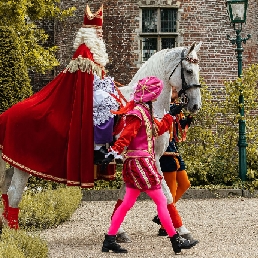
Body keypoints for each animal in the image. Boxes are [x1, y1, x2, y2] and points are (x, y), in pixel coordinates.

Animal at [0, 41, 202, 230]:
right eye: (189, 70)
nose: (196, 105)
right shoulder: (152, 159)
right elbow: (167, 195)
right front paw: (183, 232)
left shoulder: (132, 161)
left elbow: (123, 197)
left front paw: (117, 230)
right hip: (24, 165)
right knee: (14, 193)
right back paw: (15, 233)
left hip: (14, 162)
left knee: (5, 189)